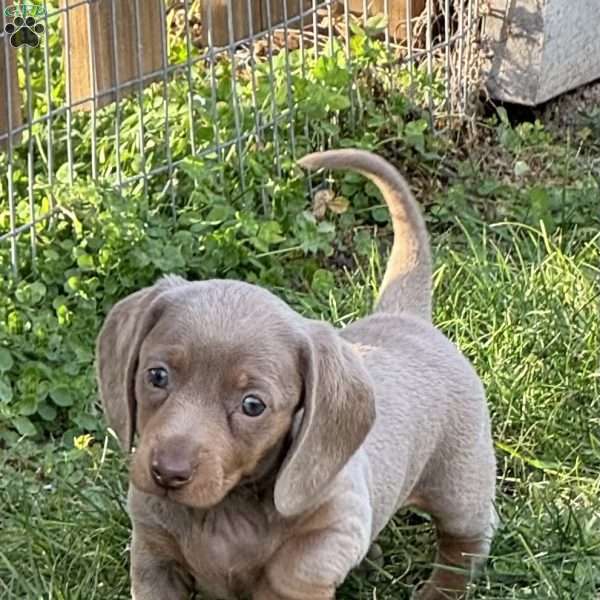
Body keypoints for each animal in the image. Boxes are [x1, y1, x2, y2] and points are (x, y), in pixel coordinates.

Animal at [96, 148, 494, 596]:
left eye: (253, 405)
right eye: (157, 376)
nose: (168, 473)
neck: (227, 508)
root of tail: (405, 316)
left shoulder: (340, 521)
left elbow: (295, 566)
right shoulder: (153, 552)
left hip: (459, 480)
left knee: (466, 540)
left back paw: (441, 588)